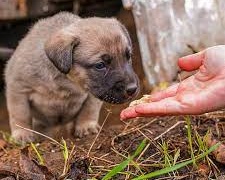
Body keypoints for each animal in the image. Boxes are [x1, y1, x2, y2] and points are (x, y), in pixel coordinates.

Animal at [4, 11, 139, 143]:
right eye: (100, 65)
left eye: (128, 56)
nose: (132, 89)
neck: (66, 81)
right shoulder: (18, 88)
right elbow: (20, 114)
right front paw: (22, 133)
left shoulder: (93, 91)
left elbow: (89, 108)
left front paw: (86, 126)